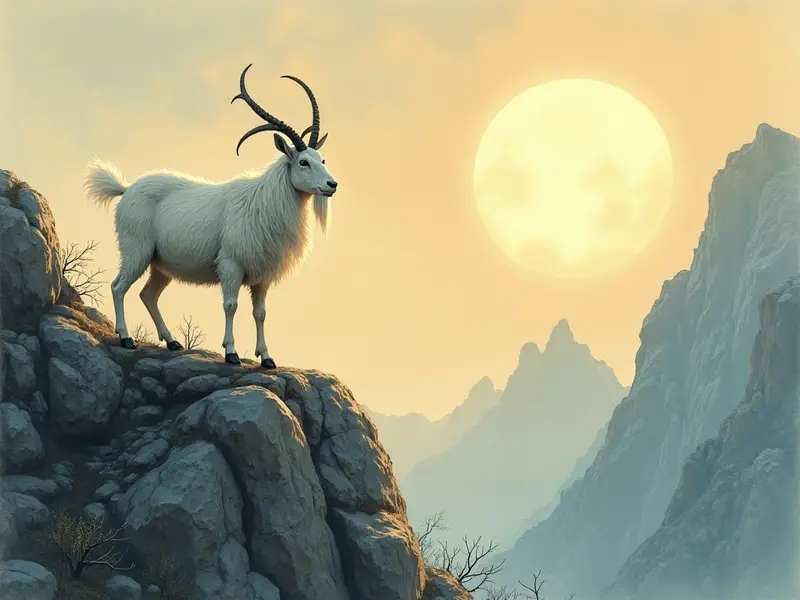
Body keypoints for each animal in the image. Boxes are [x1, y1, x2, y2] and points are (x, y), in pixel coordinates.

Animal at [83, 64, 338, 369]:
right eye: (303, 162)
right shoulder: (231, 266)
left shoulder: (262, 277)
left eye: (322, 159)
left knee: (149, 295)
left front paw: (266, 358)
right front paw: (231, 353)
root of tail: (126, 188)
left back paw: (172, 341)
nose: (332, 185)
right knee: (118, 286)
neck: (261, 202)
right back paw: (126, 338)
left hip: (160, 265)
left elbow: (261, 313)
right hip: (137, 252)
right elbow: (231, 305)